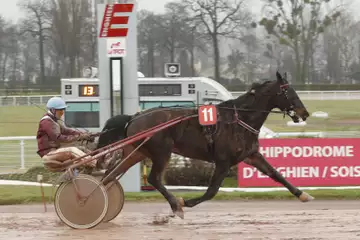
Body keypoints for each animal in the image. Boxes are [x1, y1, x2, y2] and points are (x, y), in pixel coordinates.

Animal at [96, 71, 312, 219]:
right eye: (288, 92)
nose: (305, 113)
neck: (240, 119)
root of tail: (134, 117)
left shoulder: (251, 155)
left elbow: (276, 174)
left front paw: (303, 195)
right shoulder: (223, 161)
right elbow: (211, 191)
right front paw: (185, 201)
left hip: (136, 152)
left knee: (111, 175)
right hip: (161, 152)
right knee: (154, 178)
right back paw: (175, 205)